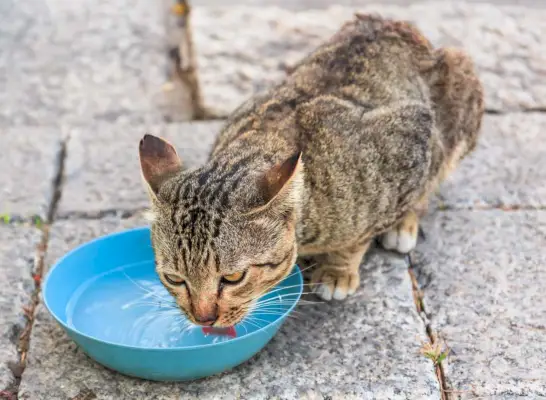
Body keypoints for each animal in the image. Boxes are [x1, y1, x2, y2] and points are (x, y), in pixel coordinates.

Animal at [138, 14, 482, 328]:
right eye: (174, 278)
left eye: (234, 277)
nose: (204, 319)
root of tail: (396, 23)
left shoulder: (411, 141)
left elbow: (357, 238)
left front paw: (338, 270)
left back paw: (403, 224)